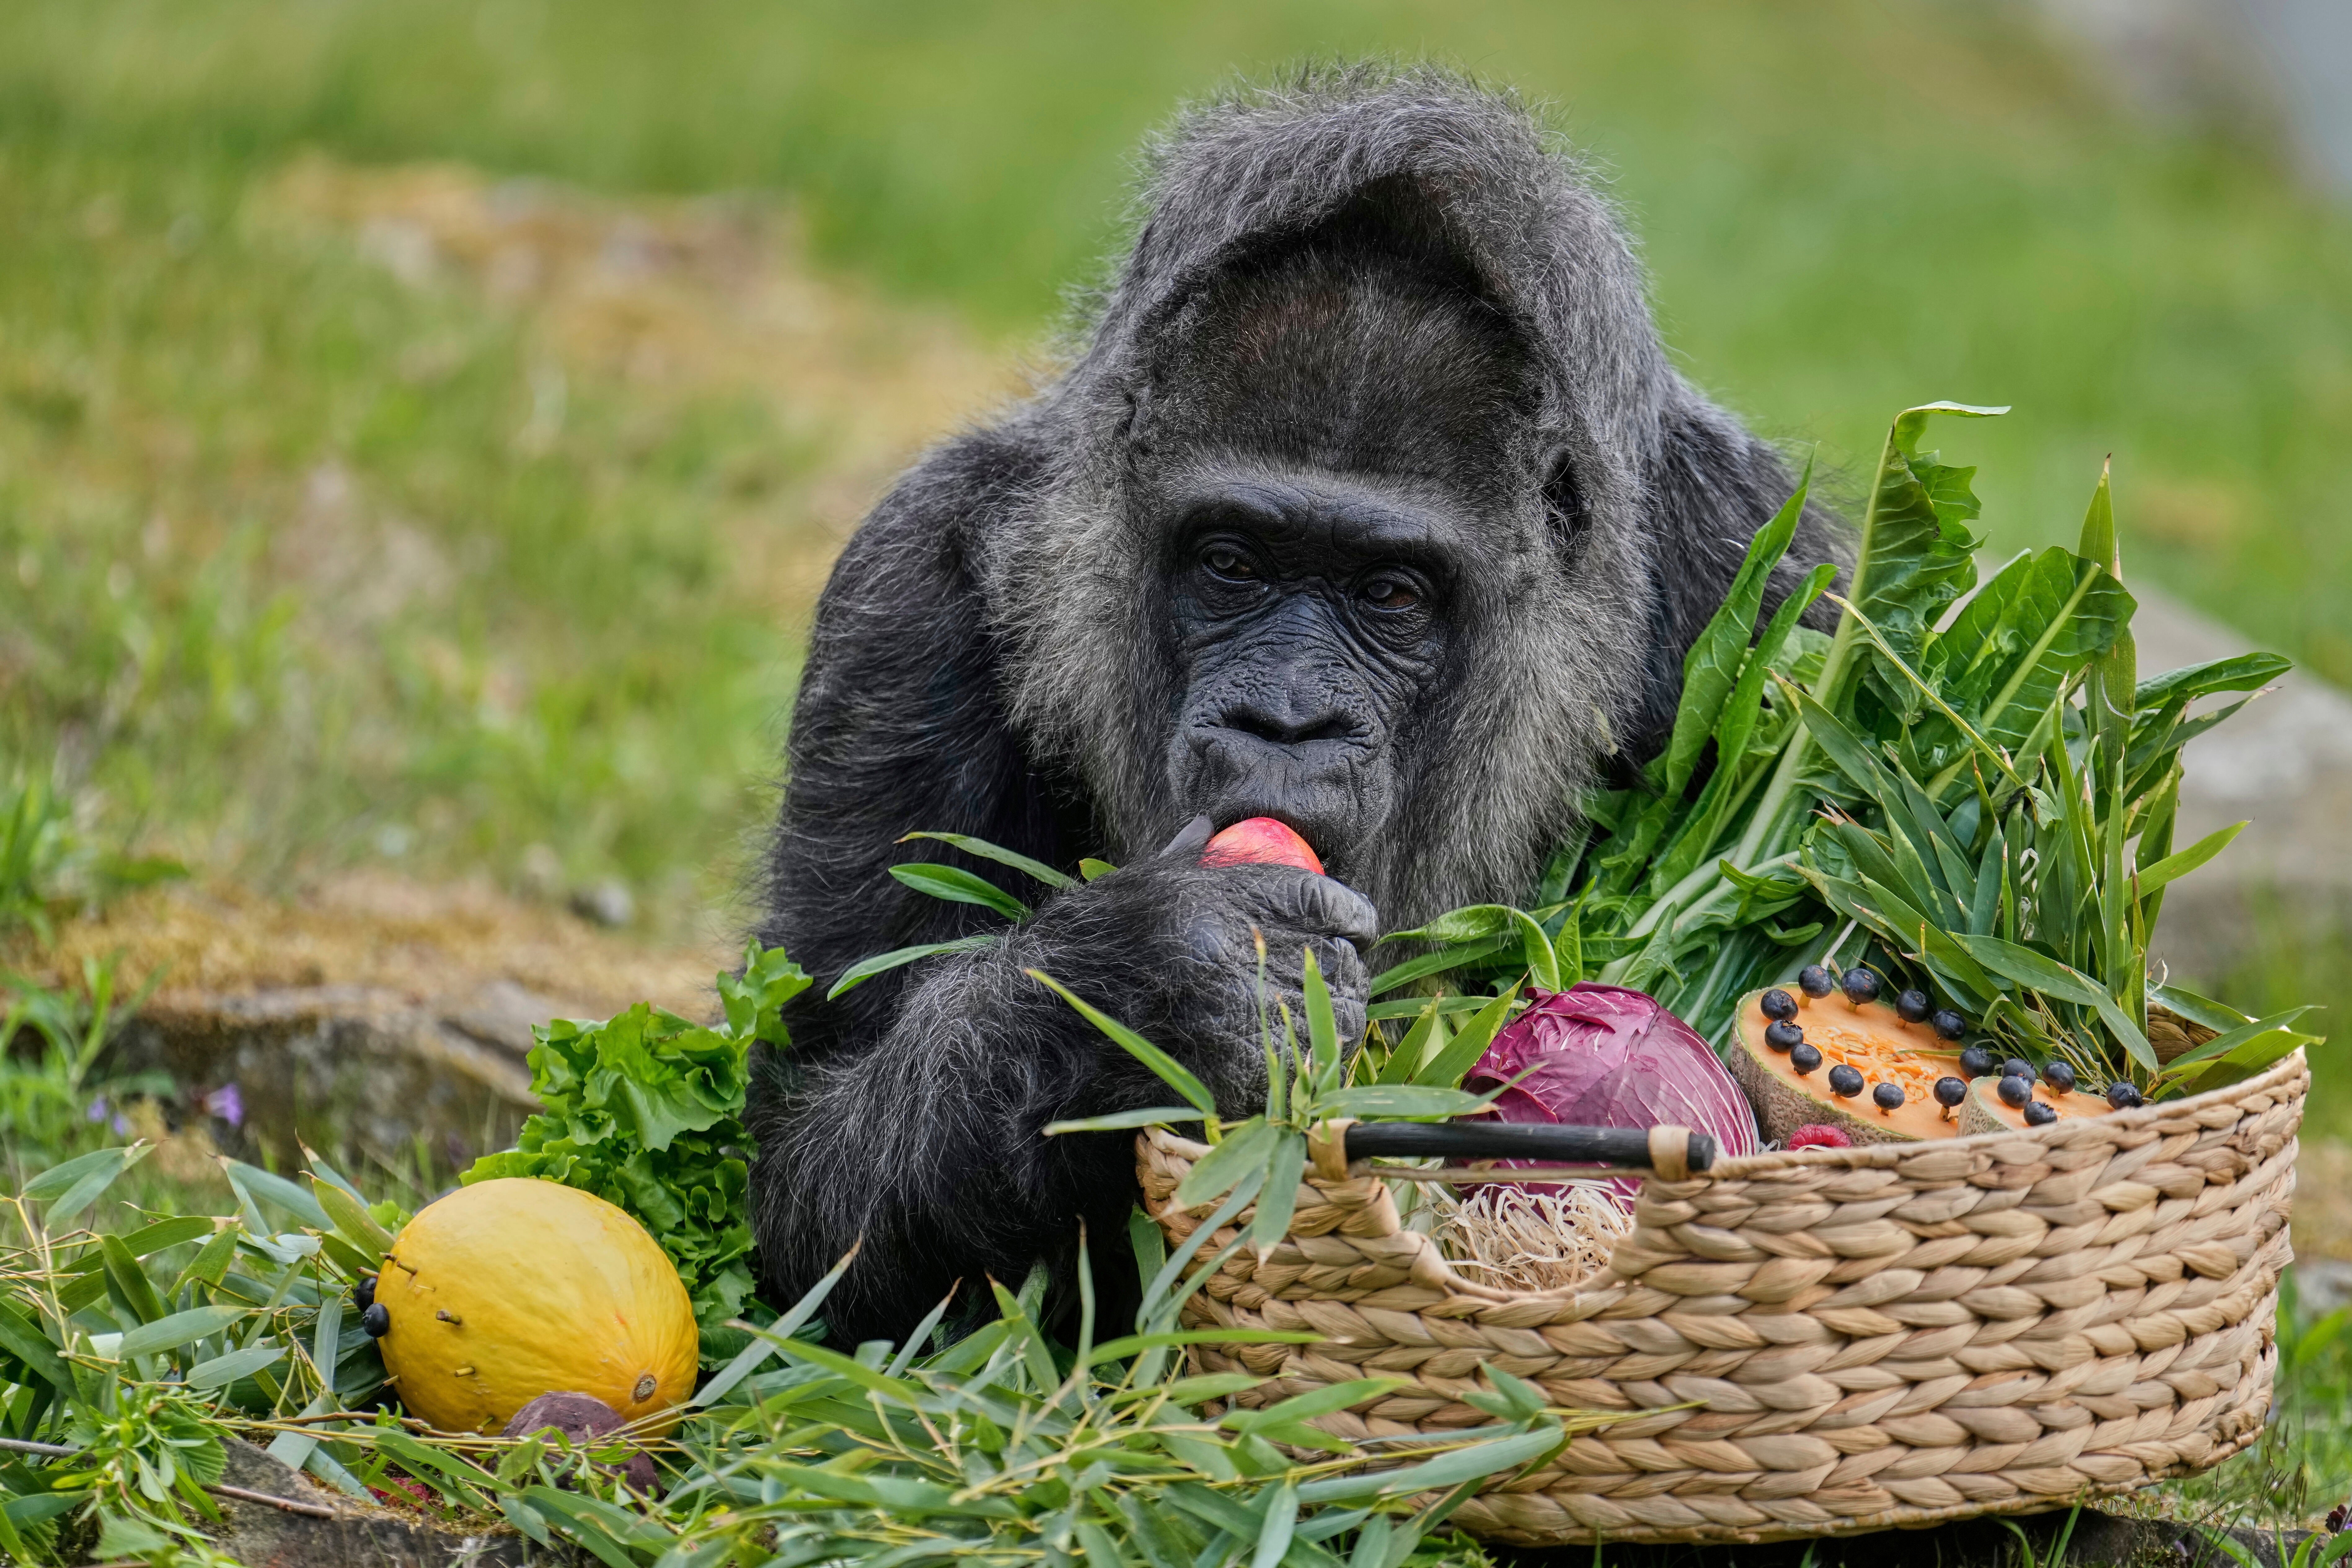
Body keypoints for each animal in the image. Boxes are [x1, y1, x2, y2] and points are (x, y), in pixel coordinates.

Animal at [744, 66, 1844, 1347]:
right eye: (1231, 564)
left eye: (1389, 593)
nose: (1283, 722)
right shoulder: (904, 588)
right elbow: (808, 1163)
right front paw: (1143, 989)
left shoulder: (1787, 580)